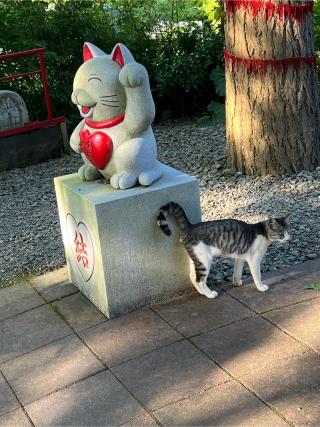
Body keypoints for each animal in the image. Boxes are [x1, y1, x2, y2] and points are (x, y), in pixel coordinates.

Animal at [158, 203, 290, 298]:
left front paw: (236, 282)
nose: (289, 239)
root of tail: (191, 226)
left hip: (196, 258)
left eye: (288, 232)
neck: (262, 232)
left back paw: (202, 292)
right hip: (205, 260)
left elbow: (237, 272)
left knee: (192, 276)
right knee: (200, 280)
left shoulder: (240, 257)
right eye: (282, 234)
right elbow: (257, 275)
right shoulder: (254, 260)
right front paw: (261, 287)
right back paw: (209, 294)